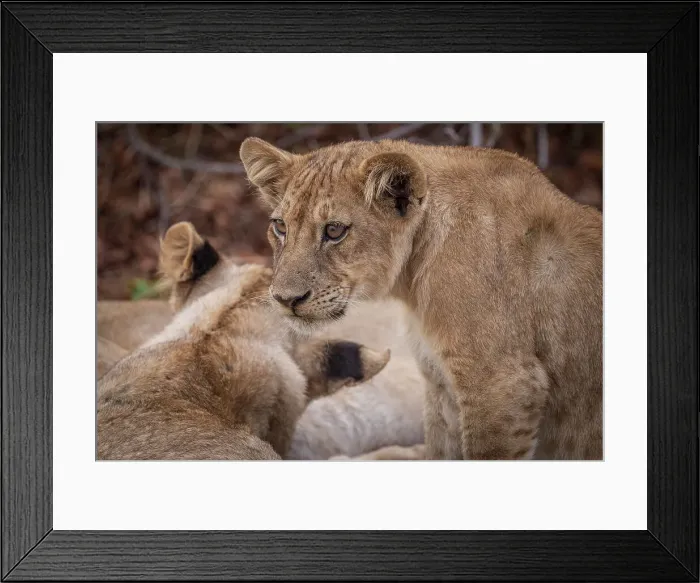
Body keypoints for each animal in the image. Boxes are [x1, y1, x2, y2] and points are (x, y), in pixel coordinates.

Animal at [239, 137, 603, 460]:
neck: (413, 279)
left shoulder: (503, 385)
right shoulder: (440, 382)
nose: (285, 299)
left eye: (334, 230)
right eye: (280, 227)